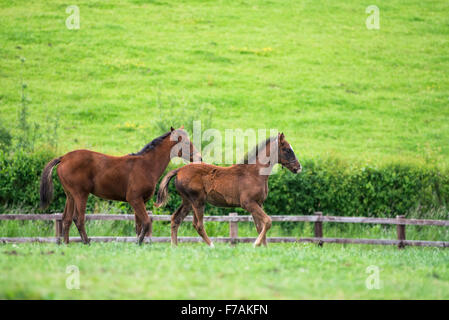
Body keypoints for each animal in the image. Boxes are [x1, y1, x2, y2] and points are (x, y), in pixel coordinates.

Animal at [40, 126, 201, 244]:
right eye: (185, 142)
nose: (199, 158)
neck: (146, 165)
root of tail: (63, 158)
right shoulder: (134, 199)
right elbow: (146, 222)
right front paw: (138, 243)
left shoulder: (140, 201)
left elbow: (139, 225)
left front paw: (138, 243)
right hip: (81, 194)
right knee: (78, 219)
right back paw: (86, 242)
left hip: (70, 195)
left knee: (66, 219)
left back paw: (66, 244)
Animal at [155, 132, 300, 248]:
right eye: (287, 149)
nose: (298, 168)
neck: (254, 173)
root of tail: (179, 170)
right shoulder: (248, 203)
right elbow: (268, 221)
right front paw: (256, 244)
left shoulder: (258, 204)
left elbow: (260, 226)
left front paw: (264, 247)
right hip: (197, 201)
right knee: (198, 225)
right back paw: (212, 246)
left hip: (187, 202)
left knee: (176, 219)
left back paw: (174, 246)